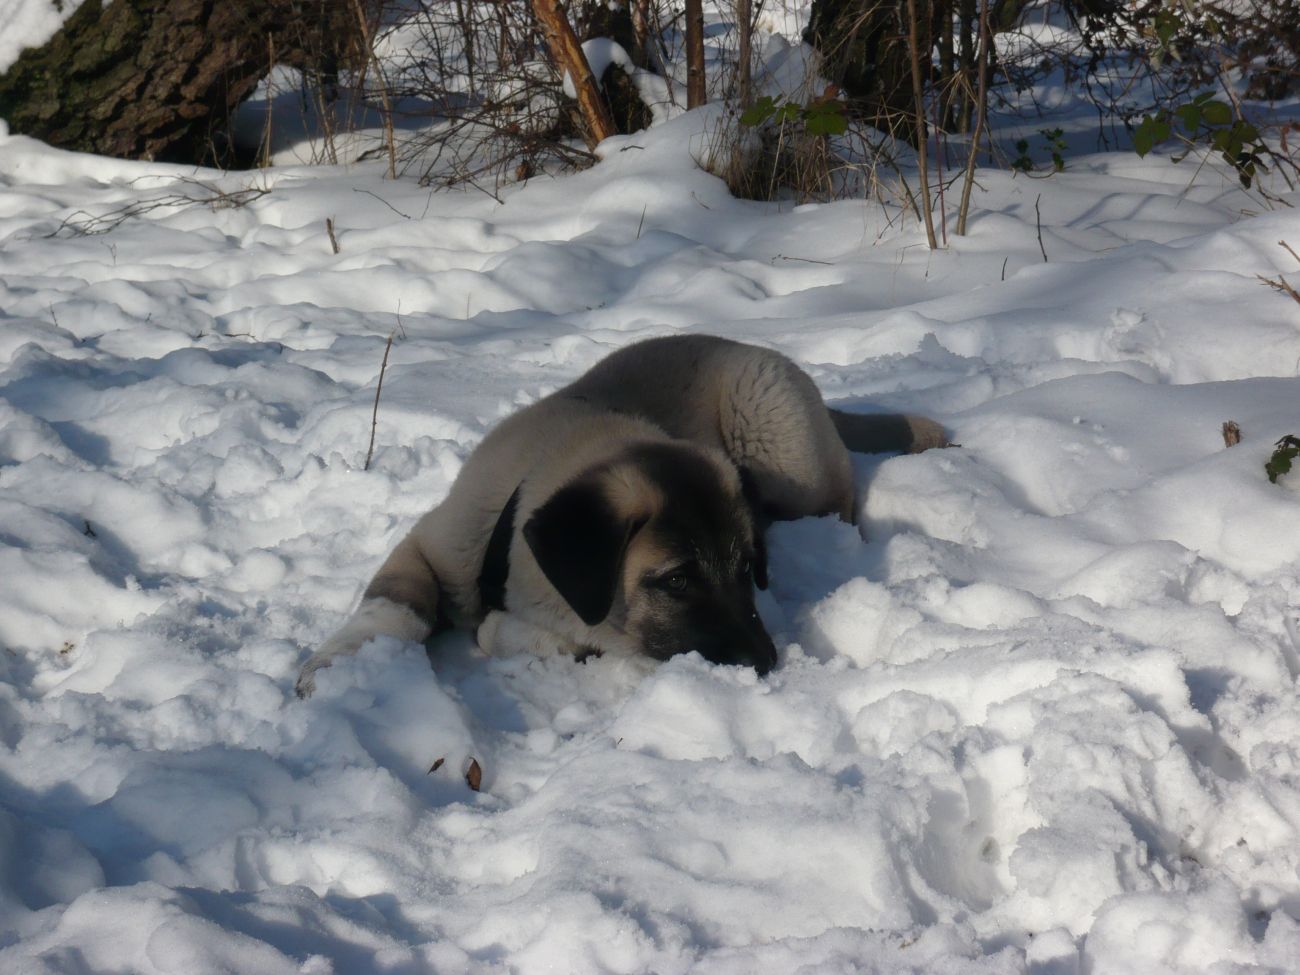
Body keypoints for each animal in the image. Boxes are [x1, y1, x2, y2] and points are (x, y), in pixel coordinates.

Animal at [295, 334, 946, 697]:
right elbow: (394, 607)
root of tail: (761, 354)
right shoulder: (432, 542)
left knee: (839, 504)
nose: (765, 663)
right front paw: (335, 664)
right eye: (677, 580)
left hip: (779, 444)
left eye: (745, 571)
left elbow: (505, 631)